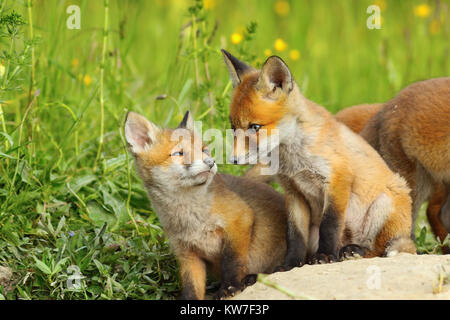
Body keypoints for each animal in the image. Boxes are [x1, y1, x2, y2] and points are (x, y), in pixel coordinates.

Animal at [123, 110, 286, 300]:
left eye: (204, 150)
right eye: (178, 153)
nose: (210, 162)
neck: (192, 219)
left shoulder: (240, 219)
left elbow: (232, 262)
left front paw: (230, 287)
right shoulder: (186, 252)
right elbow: (191, 285)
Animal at [221, 50, 414, 270]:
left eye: (255, 127)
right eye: (233, 127)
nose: (233, 160)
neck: (294, 159)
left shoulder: (337, 180)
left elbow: (329, 226)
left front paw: (326, 255)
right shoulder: (294, 193)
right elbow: (295, 236)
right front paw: (290, 264)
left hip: (383, 205)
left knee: (378, 250)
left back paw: (354, 251)